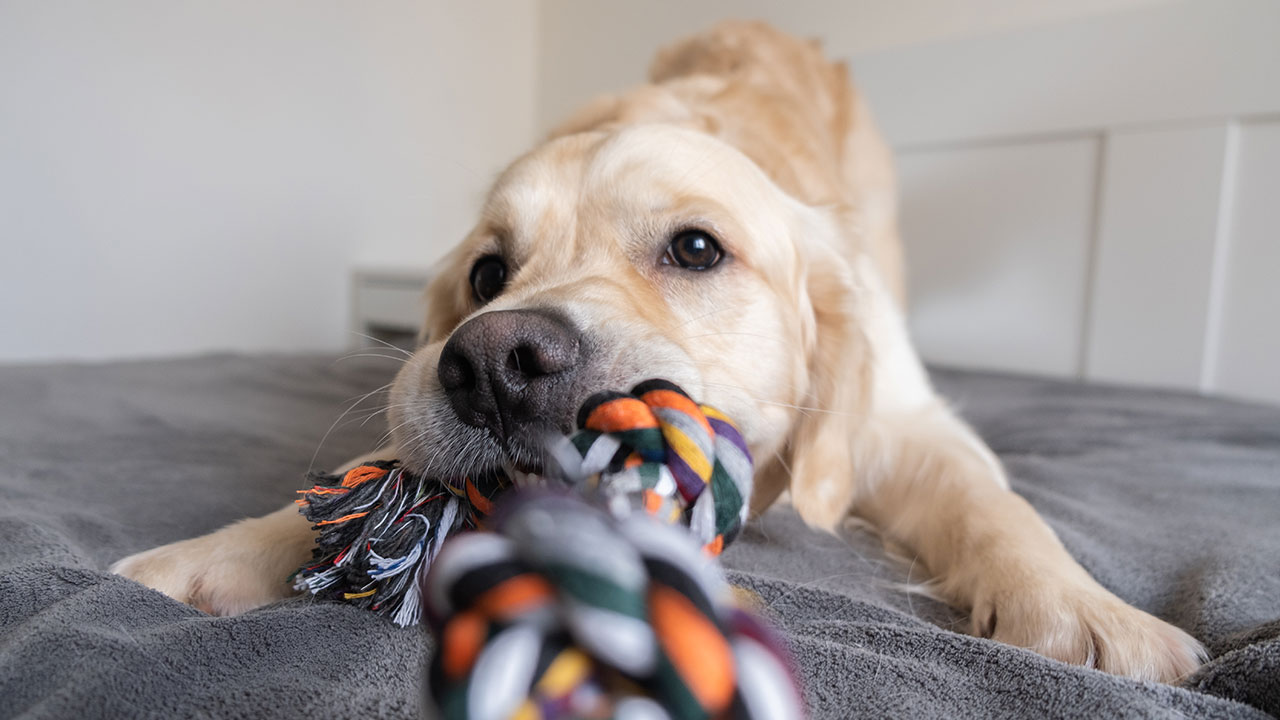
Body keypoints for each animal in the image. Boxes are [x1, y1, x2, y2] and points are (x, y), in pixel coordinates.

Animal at [115, 20, 1203, 681]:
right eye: (485, 275)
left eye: (696, 249)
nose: (492, 364)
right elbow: (362, 475)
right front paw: (213, 555)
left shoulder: (901, 421)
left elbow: (992, 504)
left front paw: (1083, 611)